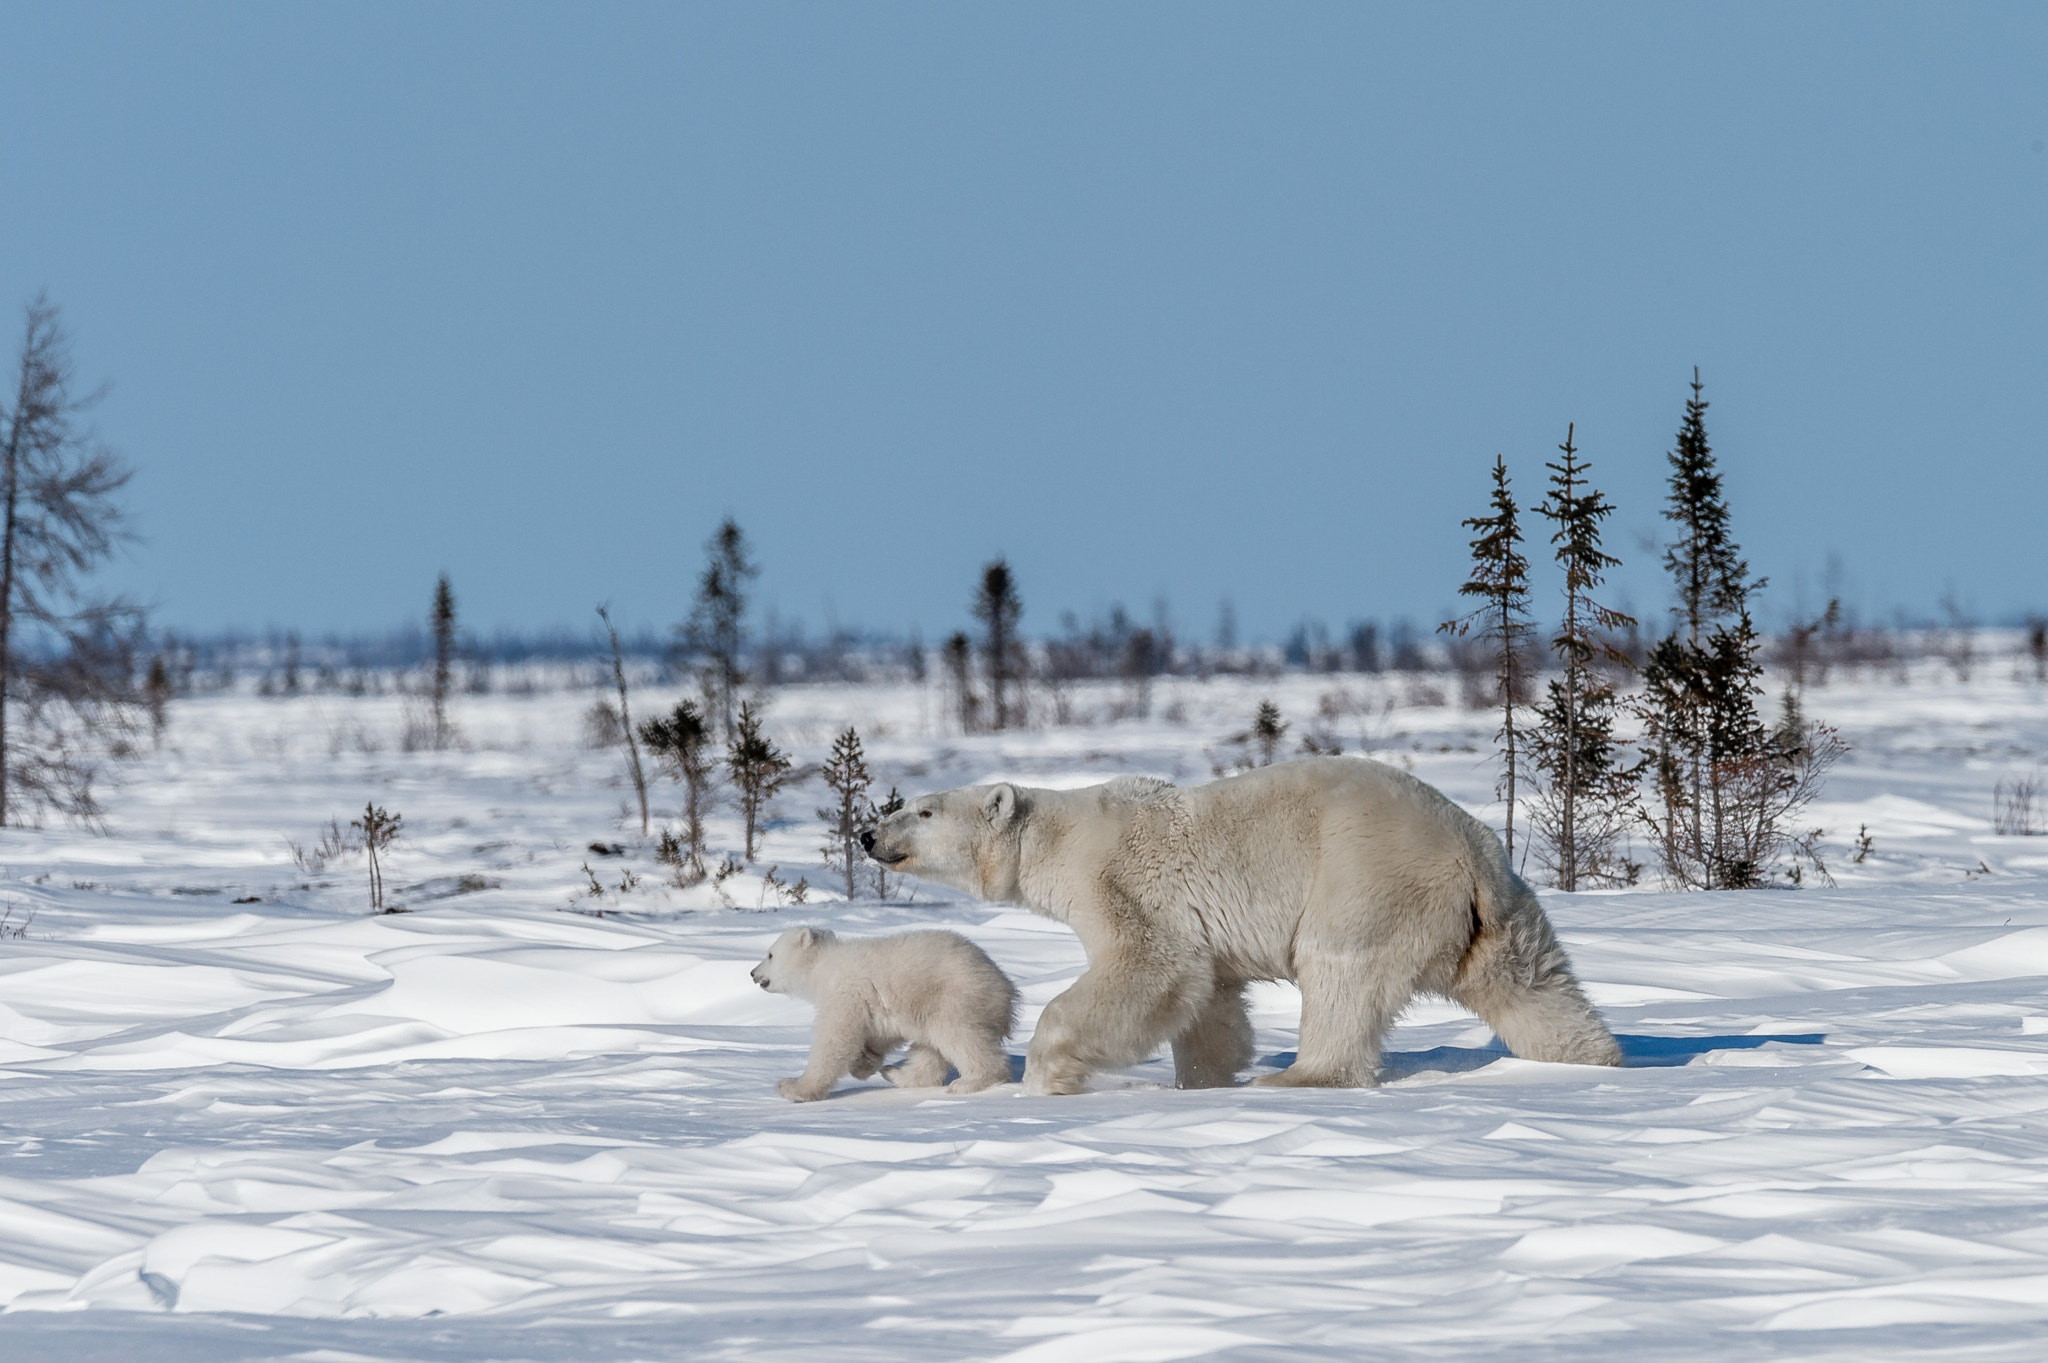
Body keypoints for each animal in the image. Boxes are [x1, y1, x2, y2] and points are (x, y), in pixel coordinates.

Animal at [745, 916, 1015, 1096]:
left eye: (770, 954)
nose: (752, 973)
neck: (823, 966)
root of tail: (1006, 991)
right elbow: (879, 1033)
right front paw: (863, 1064)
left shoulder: (845, 992)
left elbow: (834, 1039)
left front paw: (793, 1087)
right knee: (929, 1049)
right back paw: (895, 1073)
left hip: (954, 997)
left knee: (958, 1037)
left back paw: (970, 1081)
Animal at [860, 753, 1613, 1096]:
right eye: (901, 805)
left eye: (922, 810)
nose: (867, 834)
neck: (1062, 838)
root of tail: (1468, 854)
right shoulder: (1201, 936)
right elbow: (1208, 1002)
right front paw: (1203, 1082)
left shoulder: (1126, 884)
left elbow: (1147, 967)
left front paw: (1048, 1075)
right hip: (1501, 912)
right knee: (1534, 984)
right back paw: (1593, 1059)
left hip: (1366, 878)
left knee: (1340, 973)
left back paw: (1298, 1077)